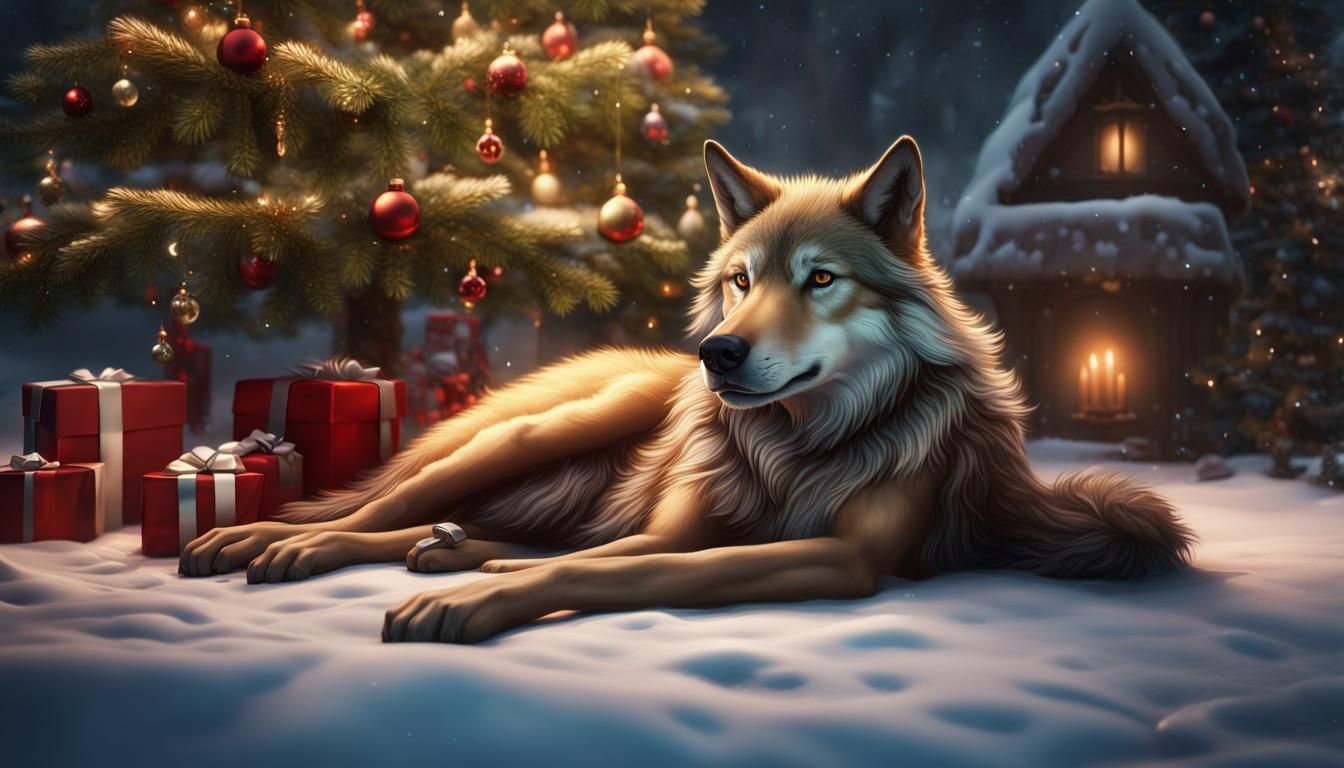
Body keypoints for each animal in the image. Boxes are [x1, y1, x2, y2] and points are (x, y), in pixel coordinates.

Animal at [180, 136, 1194, 644]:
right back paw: (262, 541)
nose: (719, 353)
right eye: (742, 280)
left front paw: (481, 594)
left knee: (466, 526)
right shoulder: (683, 528)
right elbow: (627, 560)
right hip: (540, 435)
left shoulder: (845, 558)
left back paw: (457, 556)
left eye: (820, 280)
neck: (800, 446)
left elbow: (621, 567)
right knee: (369, 507)